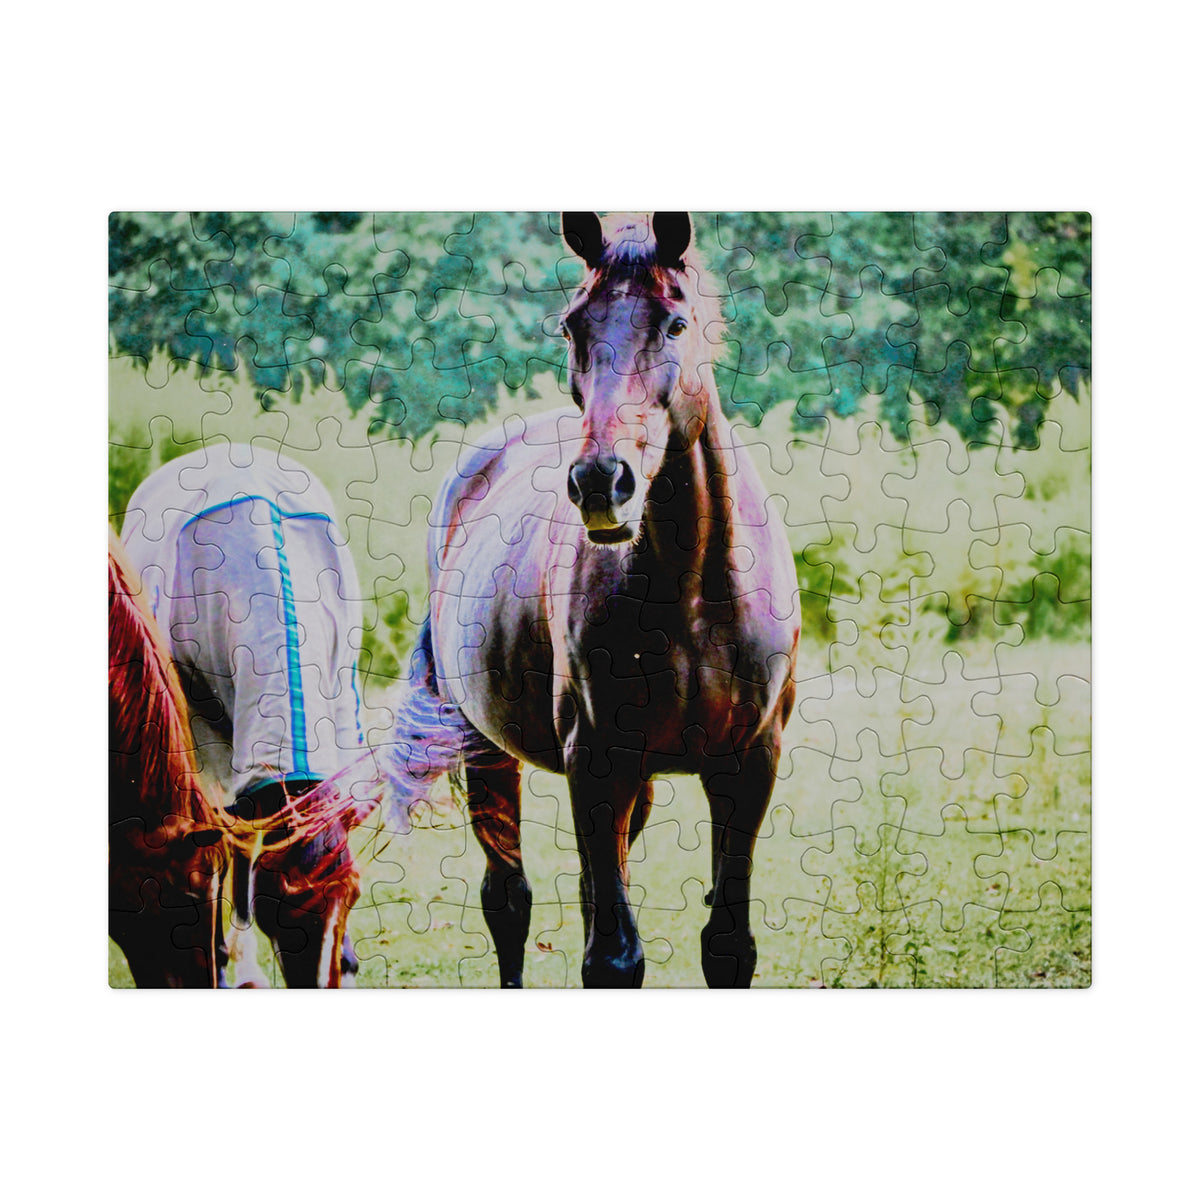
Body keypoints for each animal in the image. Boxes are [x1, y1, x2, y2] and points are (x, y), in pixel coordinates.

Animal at [387, 212, 801, 986]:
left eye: (675, 323)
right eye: (574, 325)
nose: (601, 482)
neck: (694, 592)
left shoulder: (747, 764)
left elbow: (726, 946)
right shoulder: (598, 761)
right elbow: (611, 957)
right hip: (486, 748)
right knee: (508, 900)